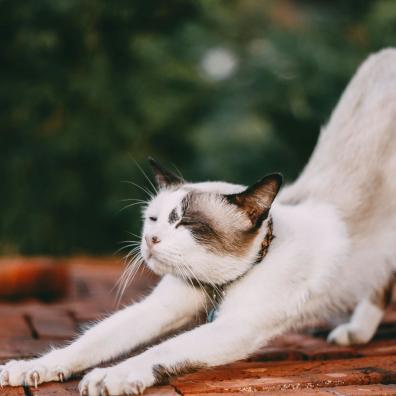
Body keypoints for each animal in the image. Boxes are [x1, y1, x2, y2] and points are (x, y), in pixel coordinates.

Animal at [0, 46, 396, 392]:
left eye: (186, 223)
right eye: (154, 220)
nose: (151, 240)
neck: (217, 284)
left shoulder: (237, 325)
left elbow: (162, 349)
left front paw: (111, 377)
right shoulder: (160, 308)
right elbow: (88, 343)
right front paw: (31, 368)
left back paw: (356, 332)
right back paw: (355, 334)